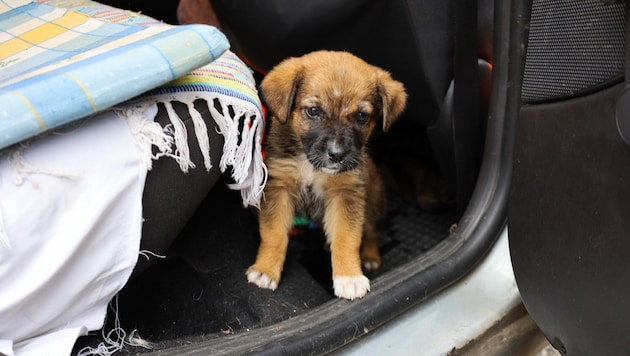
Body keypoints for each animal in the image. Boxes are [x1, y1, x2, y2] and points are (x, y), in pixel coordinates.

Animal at [244, 50, 408, 300]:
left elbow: (347, 238)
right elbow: (274, 235)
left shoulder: (345, 194)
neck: (311, 166)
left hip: (374, 206)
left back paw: (370, 257)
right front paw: (266, 270)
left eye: (361, 116)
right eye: (313, 111)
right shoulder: (279, 187)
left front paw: (349, 277)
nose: (337, 155)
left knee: (371, 234)